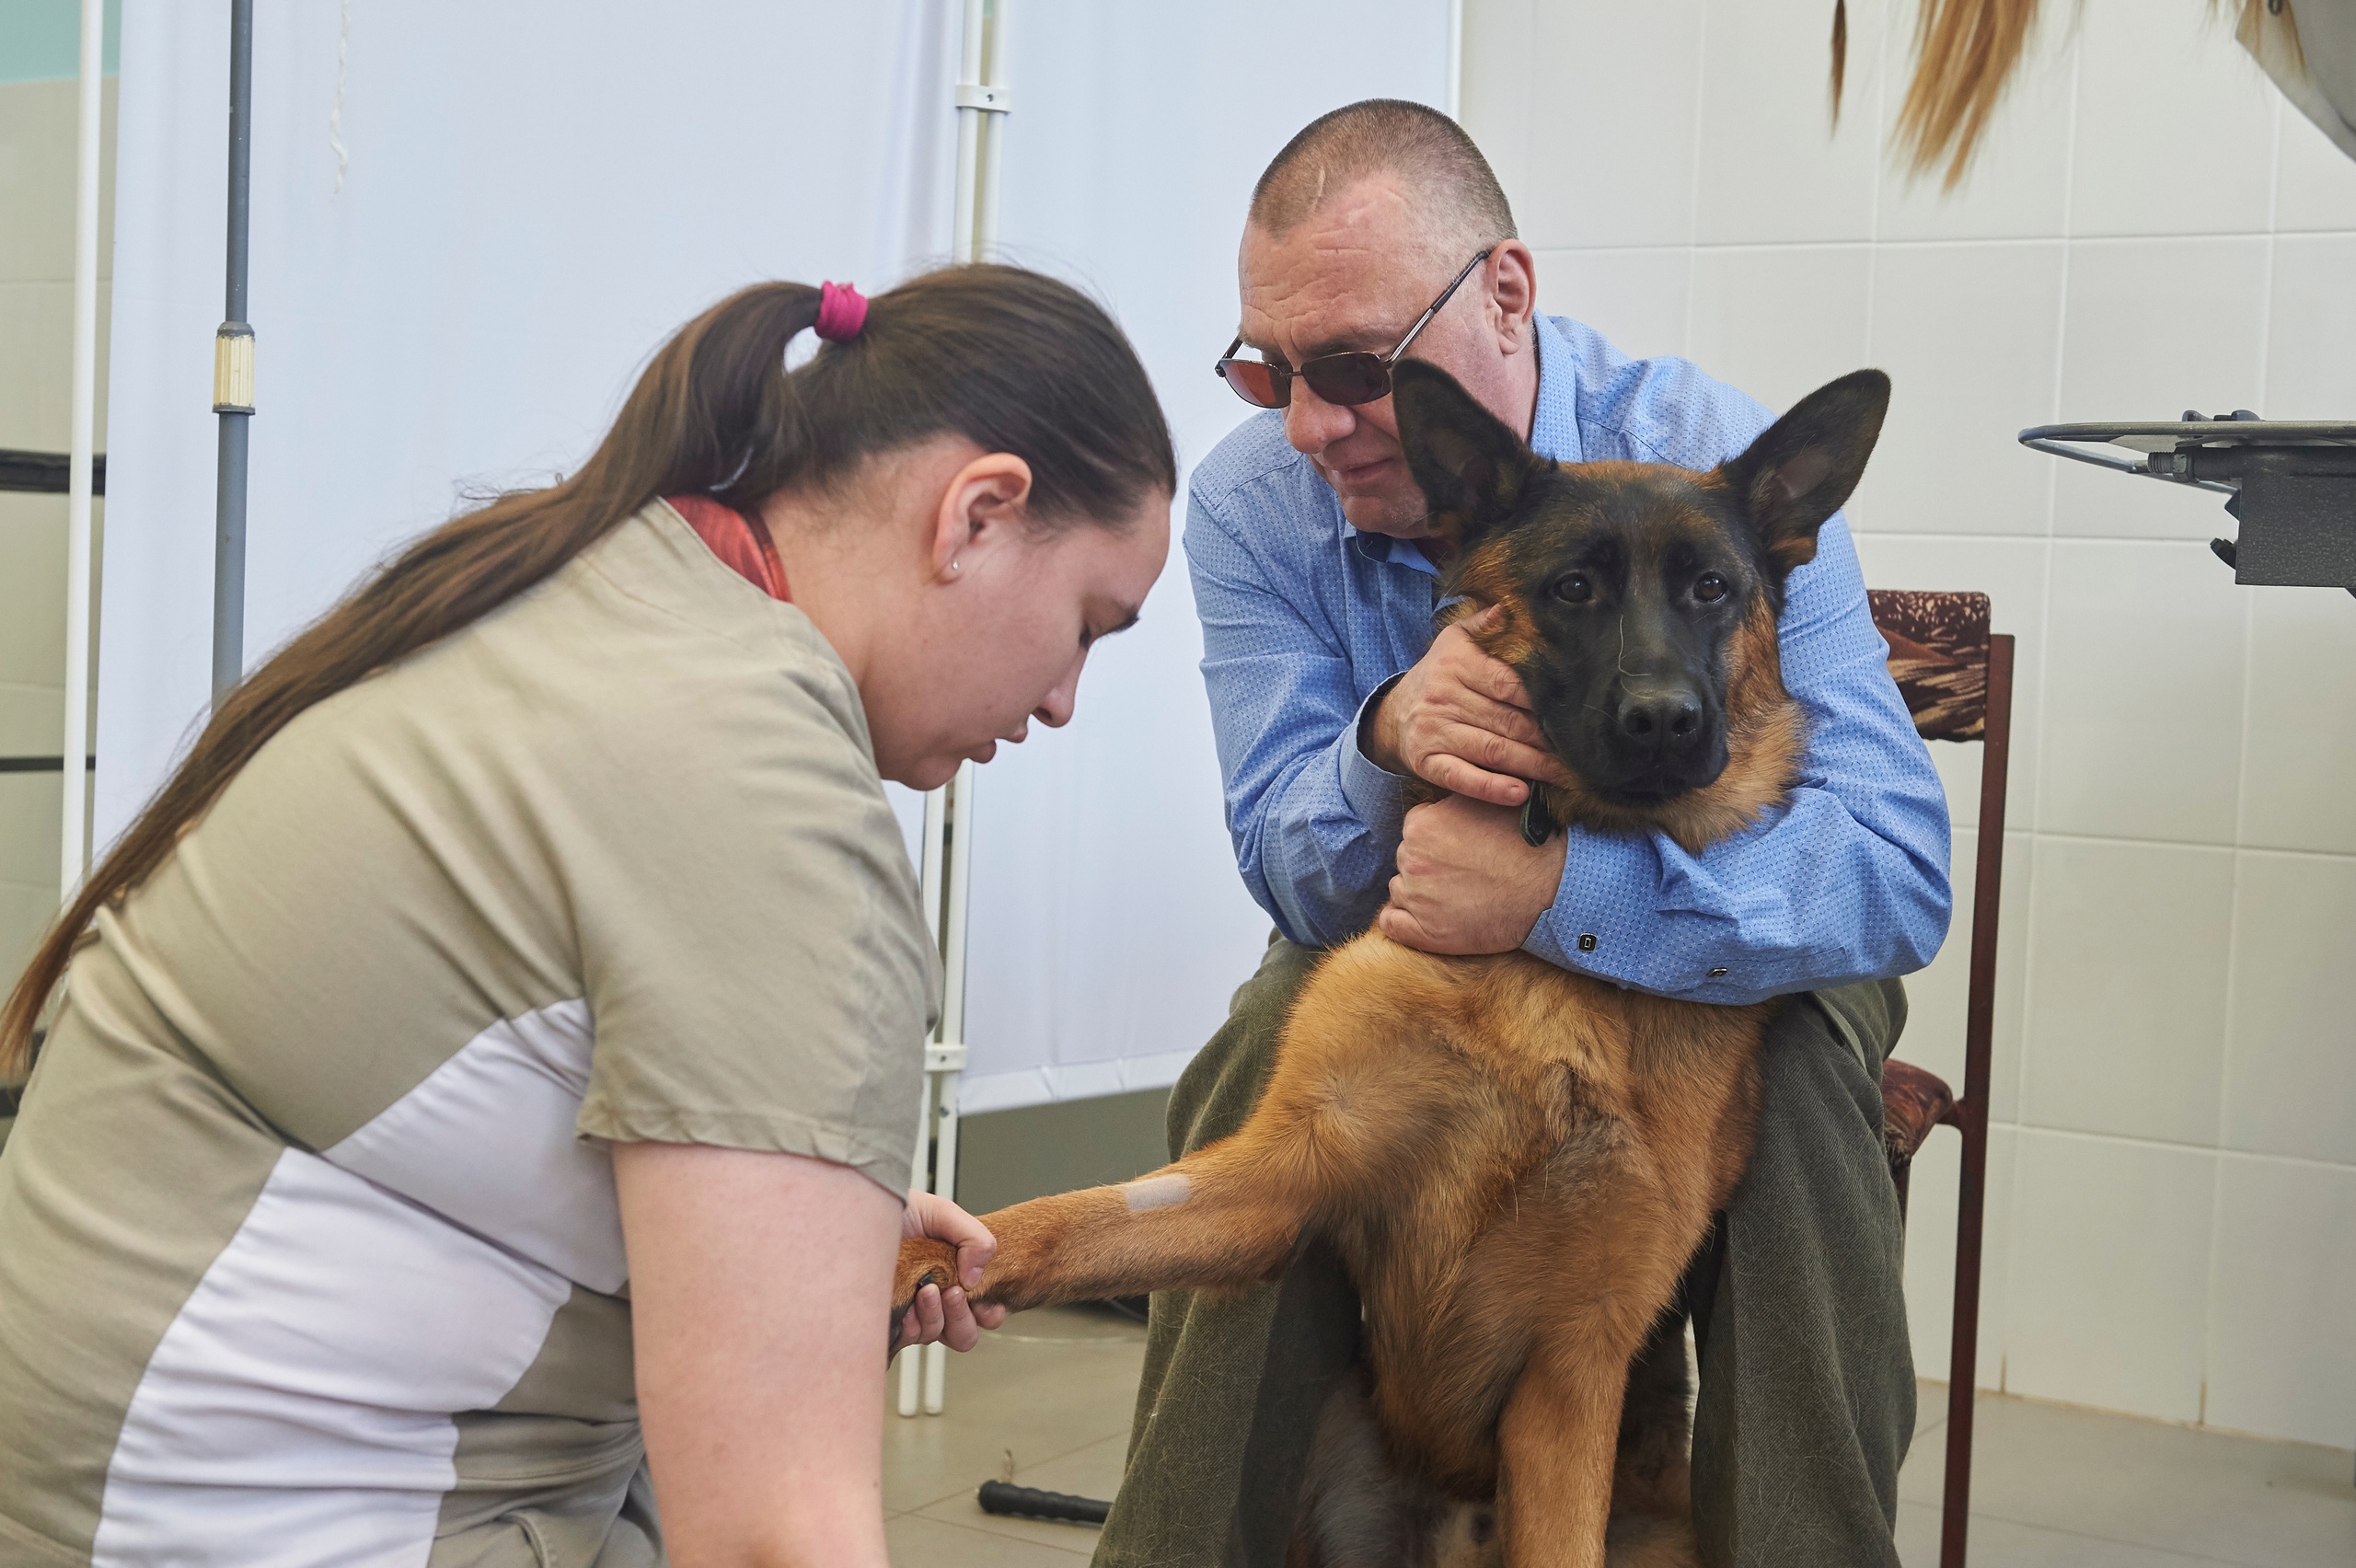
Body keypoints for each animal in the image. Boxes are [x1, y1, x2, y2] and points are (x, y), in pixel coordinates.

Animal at [890, 360, 1885, 1553]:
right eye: (1572, 589)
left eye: (1712, 590)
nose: (1663, 721)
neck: (1546, 984)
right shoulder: (1275, 1185)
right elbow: (1058, 1222)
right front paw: (911, 1260)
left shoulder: (1574, 1370)